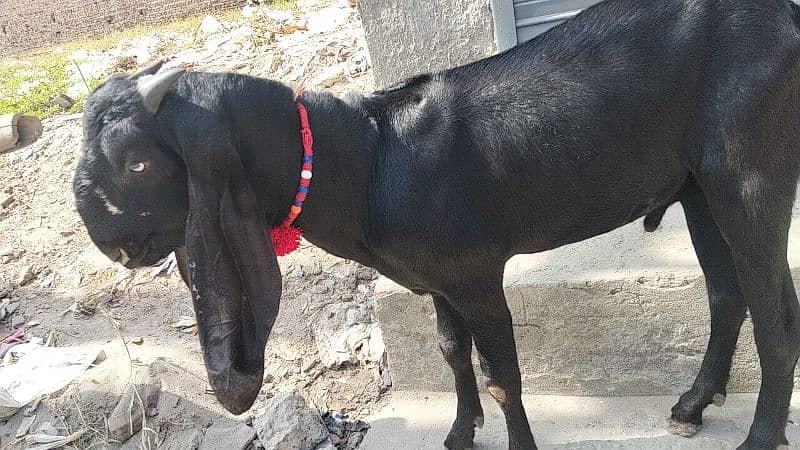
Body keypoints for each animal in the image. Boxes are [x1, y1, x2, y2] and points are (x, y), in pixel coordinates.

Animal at [73, 0, 800, 446]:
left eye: (137, 162)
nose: (108, 242)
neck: (367, 160)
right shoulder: (438, 279)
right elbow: (452, 353)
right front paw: (458, 432)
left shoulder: (476, 273)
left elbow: (503, 376)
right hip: (696, 184)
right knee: (727, 293)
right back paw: (693, 403)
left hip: (749, 169)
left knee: (776, 310)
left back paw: (760, 435)